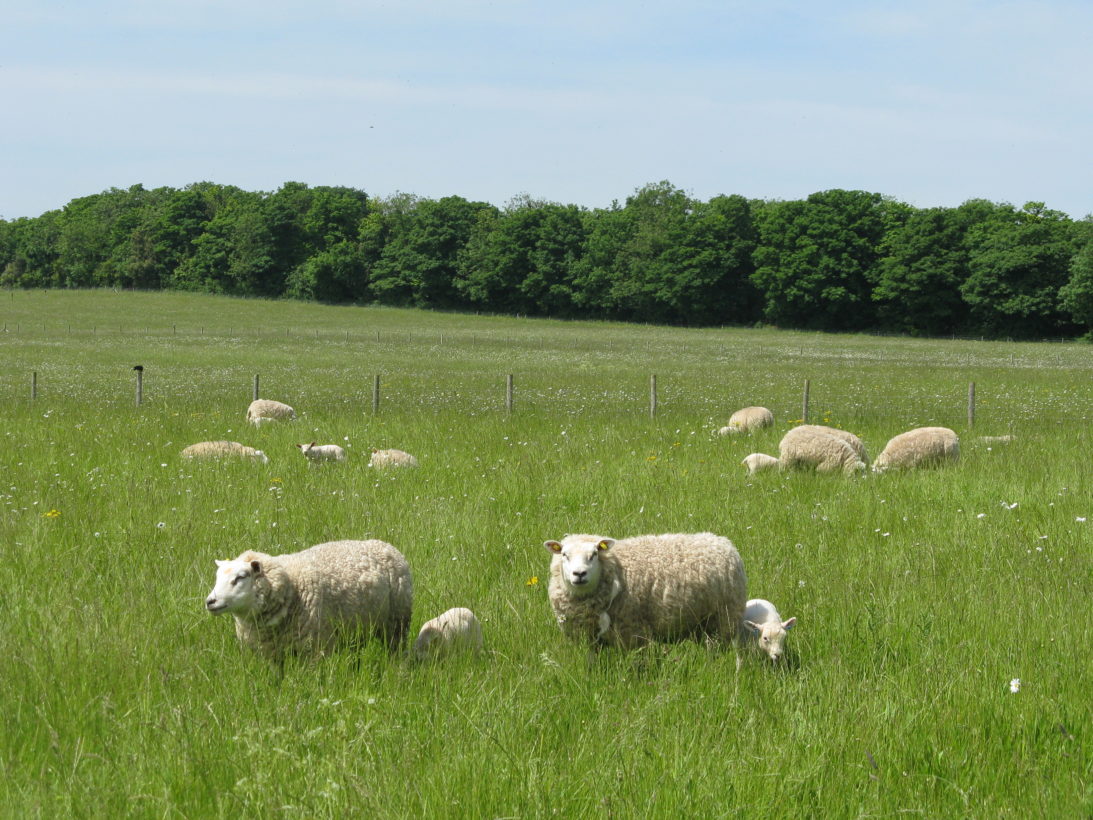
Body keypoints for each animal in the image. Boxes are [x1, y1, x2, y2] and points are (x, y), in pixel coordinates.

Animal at [203, 540, 410, 660]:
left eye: (240, 577)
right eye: (217, 577)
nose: (210, 602)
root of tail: (383, 543)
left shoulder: (316, 649)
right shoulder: (270, 655)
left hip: (396, 624)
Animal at [542, 533, 747, 656]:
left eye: (594, 554)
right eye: (564, 555)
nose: (579, 574)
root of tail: (724, 543)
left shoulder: (632, 632)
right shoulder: (587, 639)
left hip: (723, 619)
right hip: (700, 623)